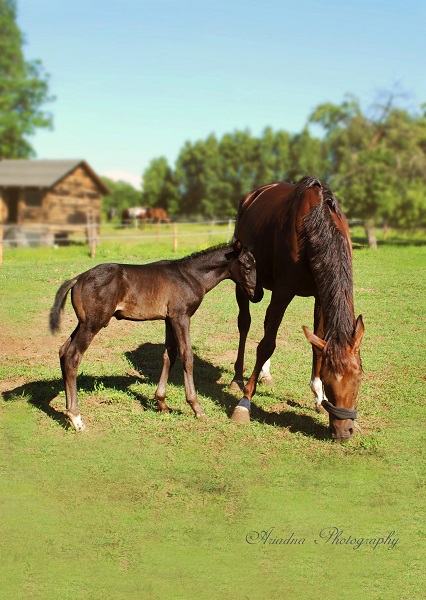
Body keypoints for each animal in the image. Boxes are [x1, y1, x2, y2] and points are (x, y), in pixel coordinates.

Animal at [50, 239, 256, 432]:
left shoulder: (169, 319)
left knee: (63, 350)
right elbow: (187, 356)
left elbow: (169, 355)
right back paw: (76, 418)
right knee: (73, 356)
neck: (190, 276)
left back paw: (69, 412)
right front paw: (196, 407)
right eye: (247, 266)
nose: (257, 295)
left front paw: (162, 403)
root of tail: (78, 279)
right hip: (92, 324)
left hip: (83, 323)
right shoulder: (181, 317)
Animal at [231, 177, 364, 440]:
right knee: (245, 324)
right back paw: (238, 377)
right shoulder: (284, 291)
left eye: (358, 379)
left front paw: (318, 396)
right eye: (331, 380)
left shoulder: (321, 295)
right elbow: (266, 345)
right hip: (245, 284)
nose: (344, 431)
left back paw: (265, 374)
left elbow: (317, 344)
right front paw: (244, 402)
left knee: (265, 323)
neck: (315, 223)